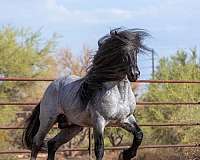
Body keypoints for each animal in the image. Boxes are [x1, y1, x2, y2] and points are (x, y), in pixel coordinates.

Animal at [22, 28, 150, 159]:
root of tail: (50, 88)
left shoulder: (126, 119)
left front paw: (126, 154)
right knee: (37, 143)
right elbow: (99, 149)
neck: (120, 96)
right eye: (122, 50)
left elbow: (139, 135)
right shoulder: (99, 122)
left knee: (52, 144)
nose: (135, 74)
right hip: (47, 120)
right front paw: (124, 154)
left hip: (73, 127)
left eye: (136, 51)